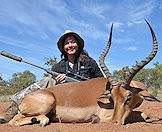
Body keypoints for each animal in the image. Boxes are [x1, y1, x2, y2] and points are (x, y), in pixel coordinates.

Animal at [8, 19, 158, 126]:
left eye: (128, 97)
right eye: (113, 98)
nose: (114, 122)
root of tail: (23, 100)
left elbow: (143, 114)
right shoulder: (105, 116)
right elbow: (138, 114)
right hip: (46, 103)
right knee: (14, 121)